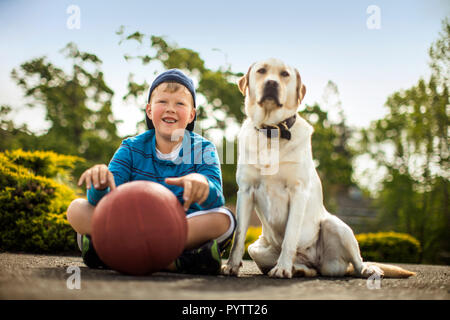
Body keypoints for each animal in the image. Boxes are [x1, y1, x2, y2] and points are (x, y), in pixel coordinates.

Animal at [223, 58, 416, 278]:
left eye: (284, 74)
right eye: (261, 71)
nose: (271, 83)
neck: (272, 131)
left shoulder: (298, 192)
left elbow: (290, 236)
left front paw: (282, 268)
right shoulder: (246, 191)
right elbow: (239, 237)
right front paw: (231, 266)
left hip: (336, 226)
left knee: (357, 261)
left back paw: (366, 269)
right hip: (256, 249)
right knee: (310, 269)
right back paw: (298, 269)